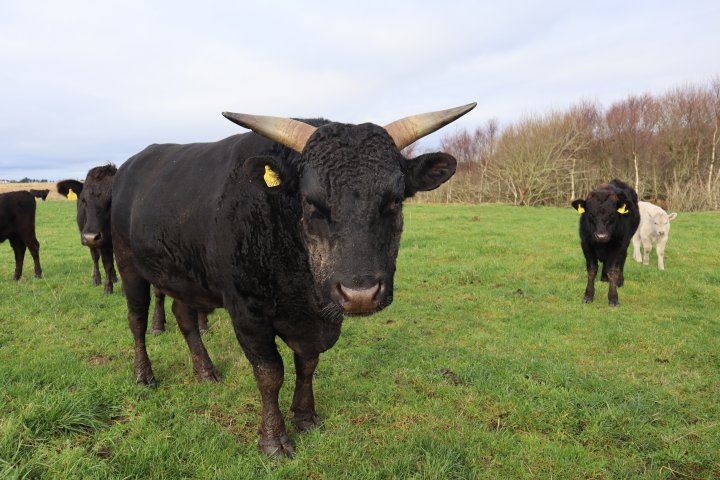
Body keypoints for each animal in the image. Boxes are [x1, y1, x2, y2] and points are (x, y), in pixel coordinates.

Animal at [56, 169, 208, 334]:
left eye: (111, 201)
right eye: (84, 200)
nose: (90, 236)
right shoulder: (105, 245)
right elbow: (107, 265)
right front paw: (108, 289)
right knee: (96, 259)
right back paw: (97, 279)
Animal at [109, 103, 476, 456]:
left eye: (395, 200)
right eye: (311, 202)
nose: (359, 294)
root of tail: (129, 167)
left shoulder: (317, 318)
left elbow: (308, 363)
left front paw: (305, 416)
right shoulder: (247, 312)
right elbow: (270, 373)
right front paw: (274, 439)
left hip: (185, 275)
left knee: (184, 317)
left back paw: (205, 371)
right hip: (128, 265)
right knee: (136, 319)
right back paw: (144, 375)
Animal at [572, 178, 640, 306]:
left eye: (612, 214)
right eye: (590, 214)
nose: (601, 236)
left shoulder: (618, 246)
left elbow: (613, 271)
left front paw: (613, 298)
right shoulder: (586, 245)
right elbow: (592, 270)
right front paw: (588, 296)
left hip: (626, 243)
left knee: (622, 260)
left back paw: (619, 281)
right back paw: (604, 278)